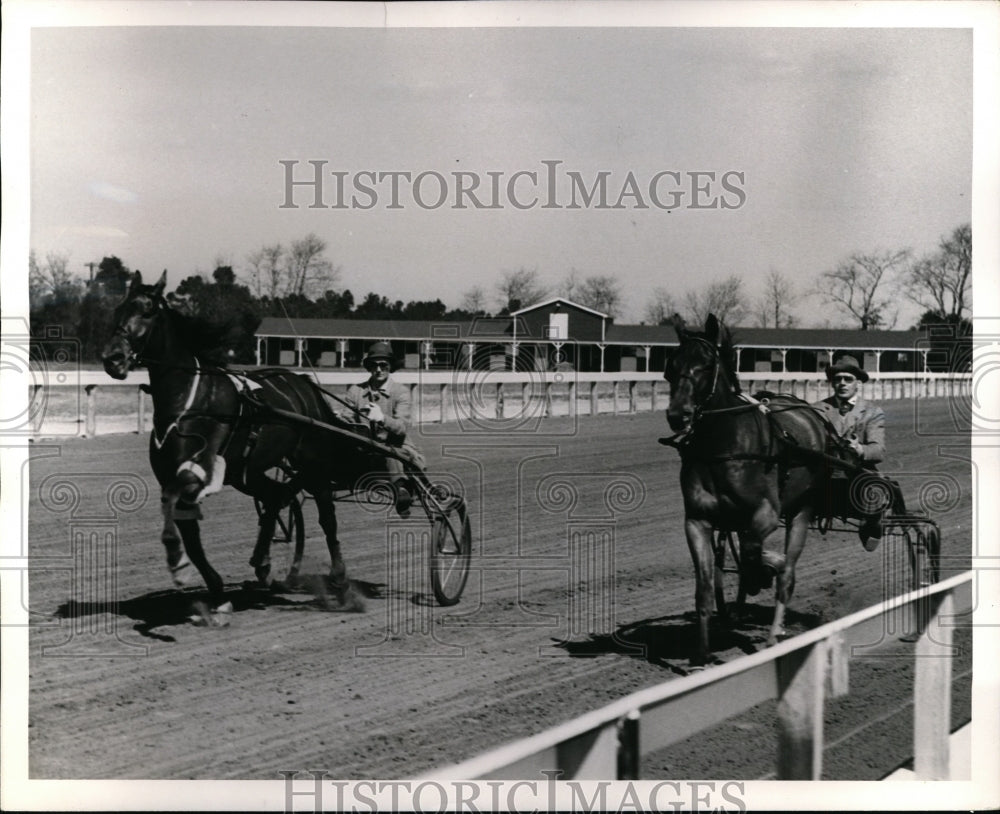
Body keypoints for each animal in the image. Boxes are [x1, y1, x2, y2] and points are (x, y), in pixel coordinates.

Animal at [664, 316, 844, 668]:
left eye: (706, 365)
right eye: (672, 364)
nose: (677, 415)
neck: (723, 446)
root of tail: (807, 410)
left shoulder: (766, 514)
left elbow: (751, 552)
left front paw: (762, 573)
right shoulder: (697, 520)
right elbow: (705, 588)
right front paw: (701, 654)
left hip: (801, 511)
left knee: (788, 576)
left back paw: (774, 633)